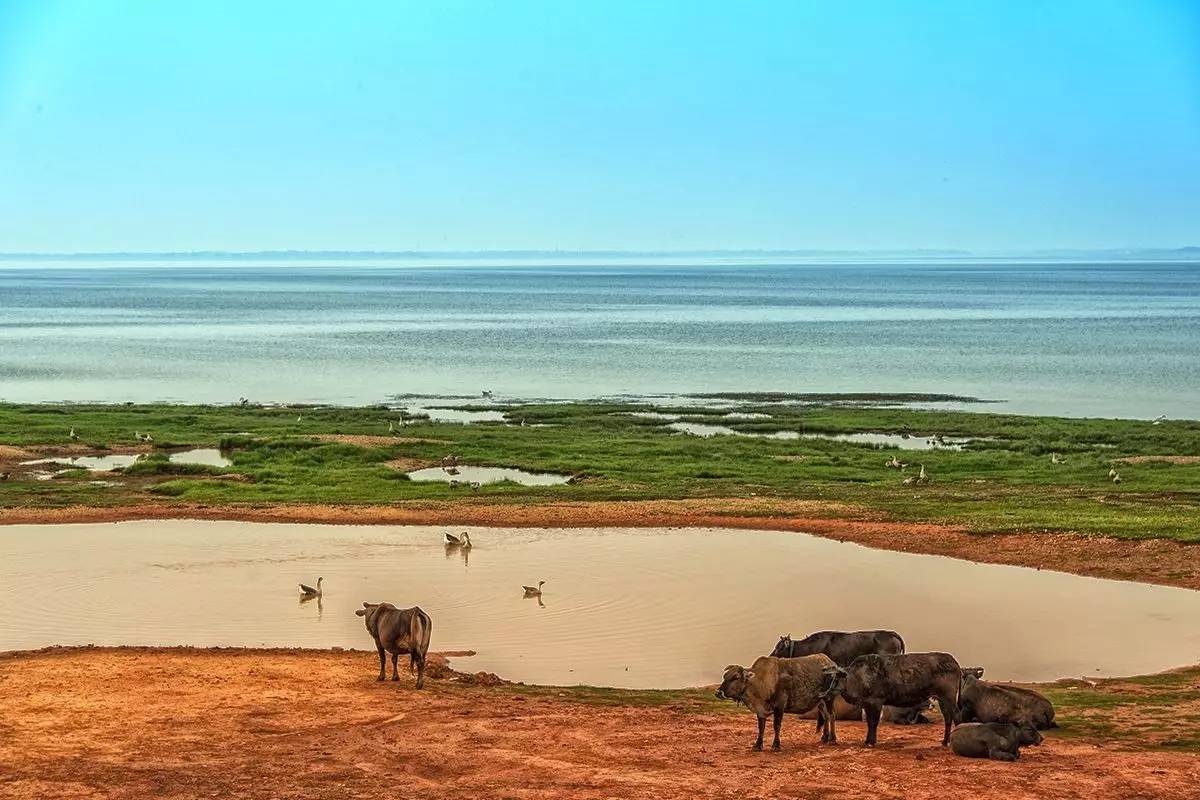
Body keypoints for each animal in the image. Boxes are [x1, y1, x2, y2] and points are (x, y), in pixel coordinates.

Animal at [820, 652, 960, 748]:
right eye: (830, 679)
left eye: (836, 679)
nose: (824, 695)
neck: (858, 676)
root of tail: (953, 662)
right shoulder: (867, 704)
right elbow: (869, 723)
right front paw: (867, 740)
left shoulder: (876, 702)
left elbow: (873, 723)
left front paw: (872, 742)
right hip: (942, 699)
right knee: (950, 717)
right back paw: (946, 741)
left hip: (948, 697)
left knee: (952, 717)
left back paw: (947, 741)